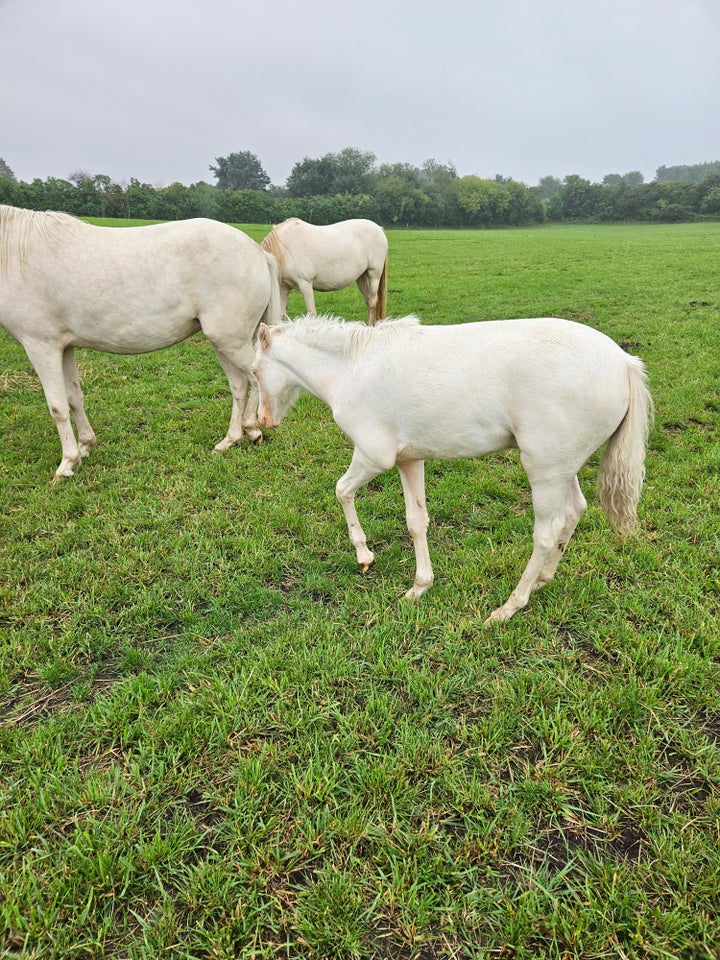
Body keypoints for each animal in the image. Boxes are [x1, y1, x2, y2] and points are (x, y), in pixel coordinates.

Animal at [0, 206, 282, 476]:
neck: (17, 253)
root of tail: (257, 251)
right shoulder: (65, 347)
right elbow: (73, 399)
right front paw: (85, 446)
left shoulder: (41, 346)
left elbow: (57, 407)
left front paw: (67, 463)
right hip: (225, 342)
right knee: (239, 385)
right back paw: (231, 439)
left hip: (231, 341)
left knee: (256, 378)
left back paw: (252, 429)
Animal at [253, 314, 652, 624]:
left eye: (255, 371)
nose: (263, 421)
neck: (351, 368)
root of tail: (623, 362)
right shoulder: (409, 459)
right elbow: (416, 521)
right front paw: (420, 586)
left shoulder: (373, 456)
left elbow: (341, 490)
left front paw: (364, 556)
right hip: (561, 468)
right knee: (574, 512)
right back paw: (543, 578)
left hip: (545, 471)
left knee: (546, 532)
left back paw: (509, 607)